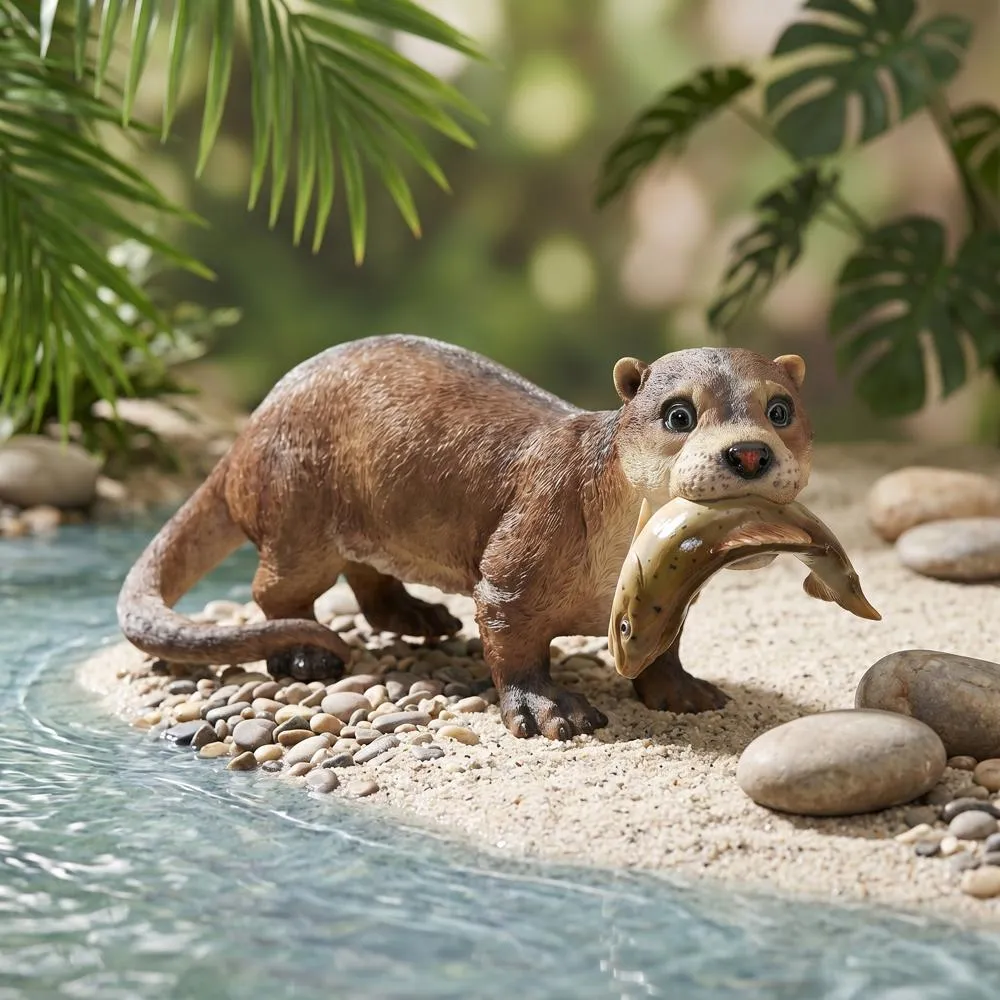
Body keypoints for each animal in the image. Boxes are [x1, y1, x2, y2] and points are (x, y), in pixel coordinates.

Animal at [117, 334, 813, 741]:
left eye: (780, 410)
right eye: (678, 414)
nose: (748, 453)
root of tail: (248, 429)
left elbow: (664, 648)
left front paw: (682, 690)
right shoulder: (519, 557)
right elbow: (511, 639)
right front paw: (549, 709)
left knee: (367, 576)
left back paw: (417, 616)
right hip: (297, 514)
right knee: (277, 592)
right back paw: (307, 656)